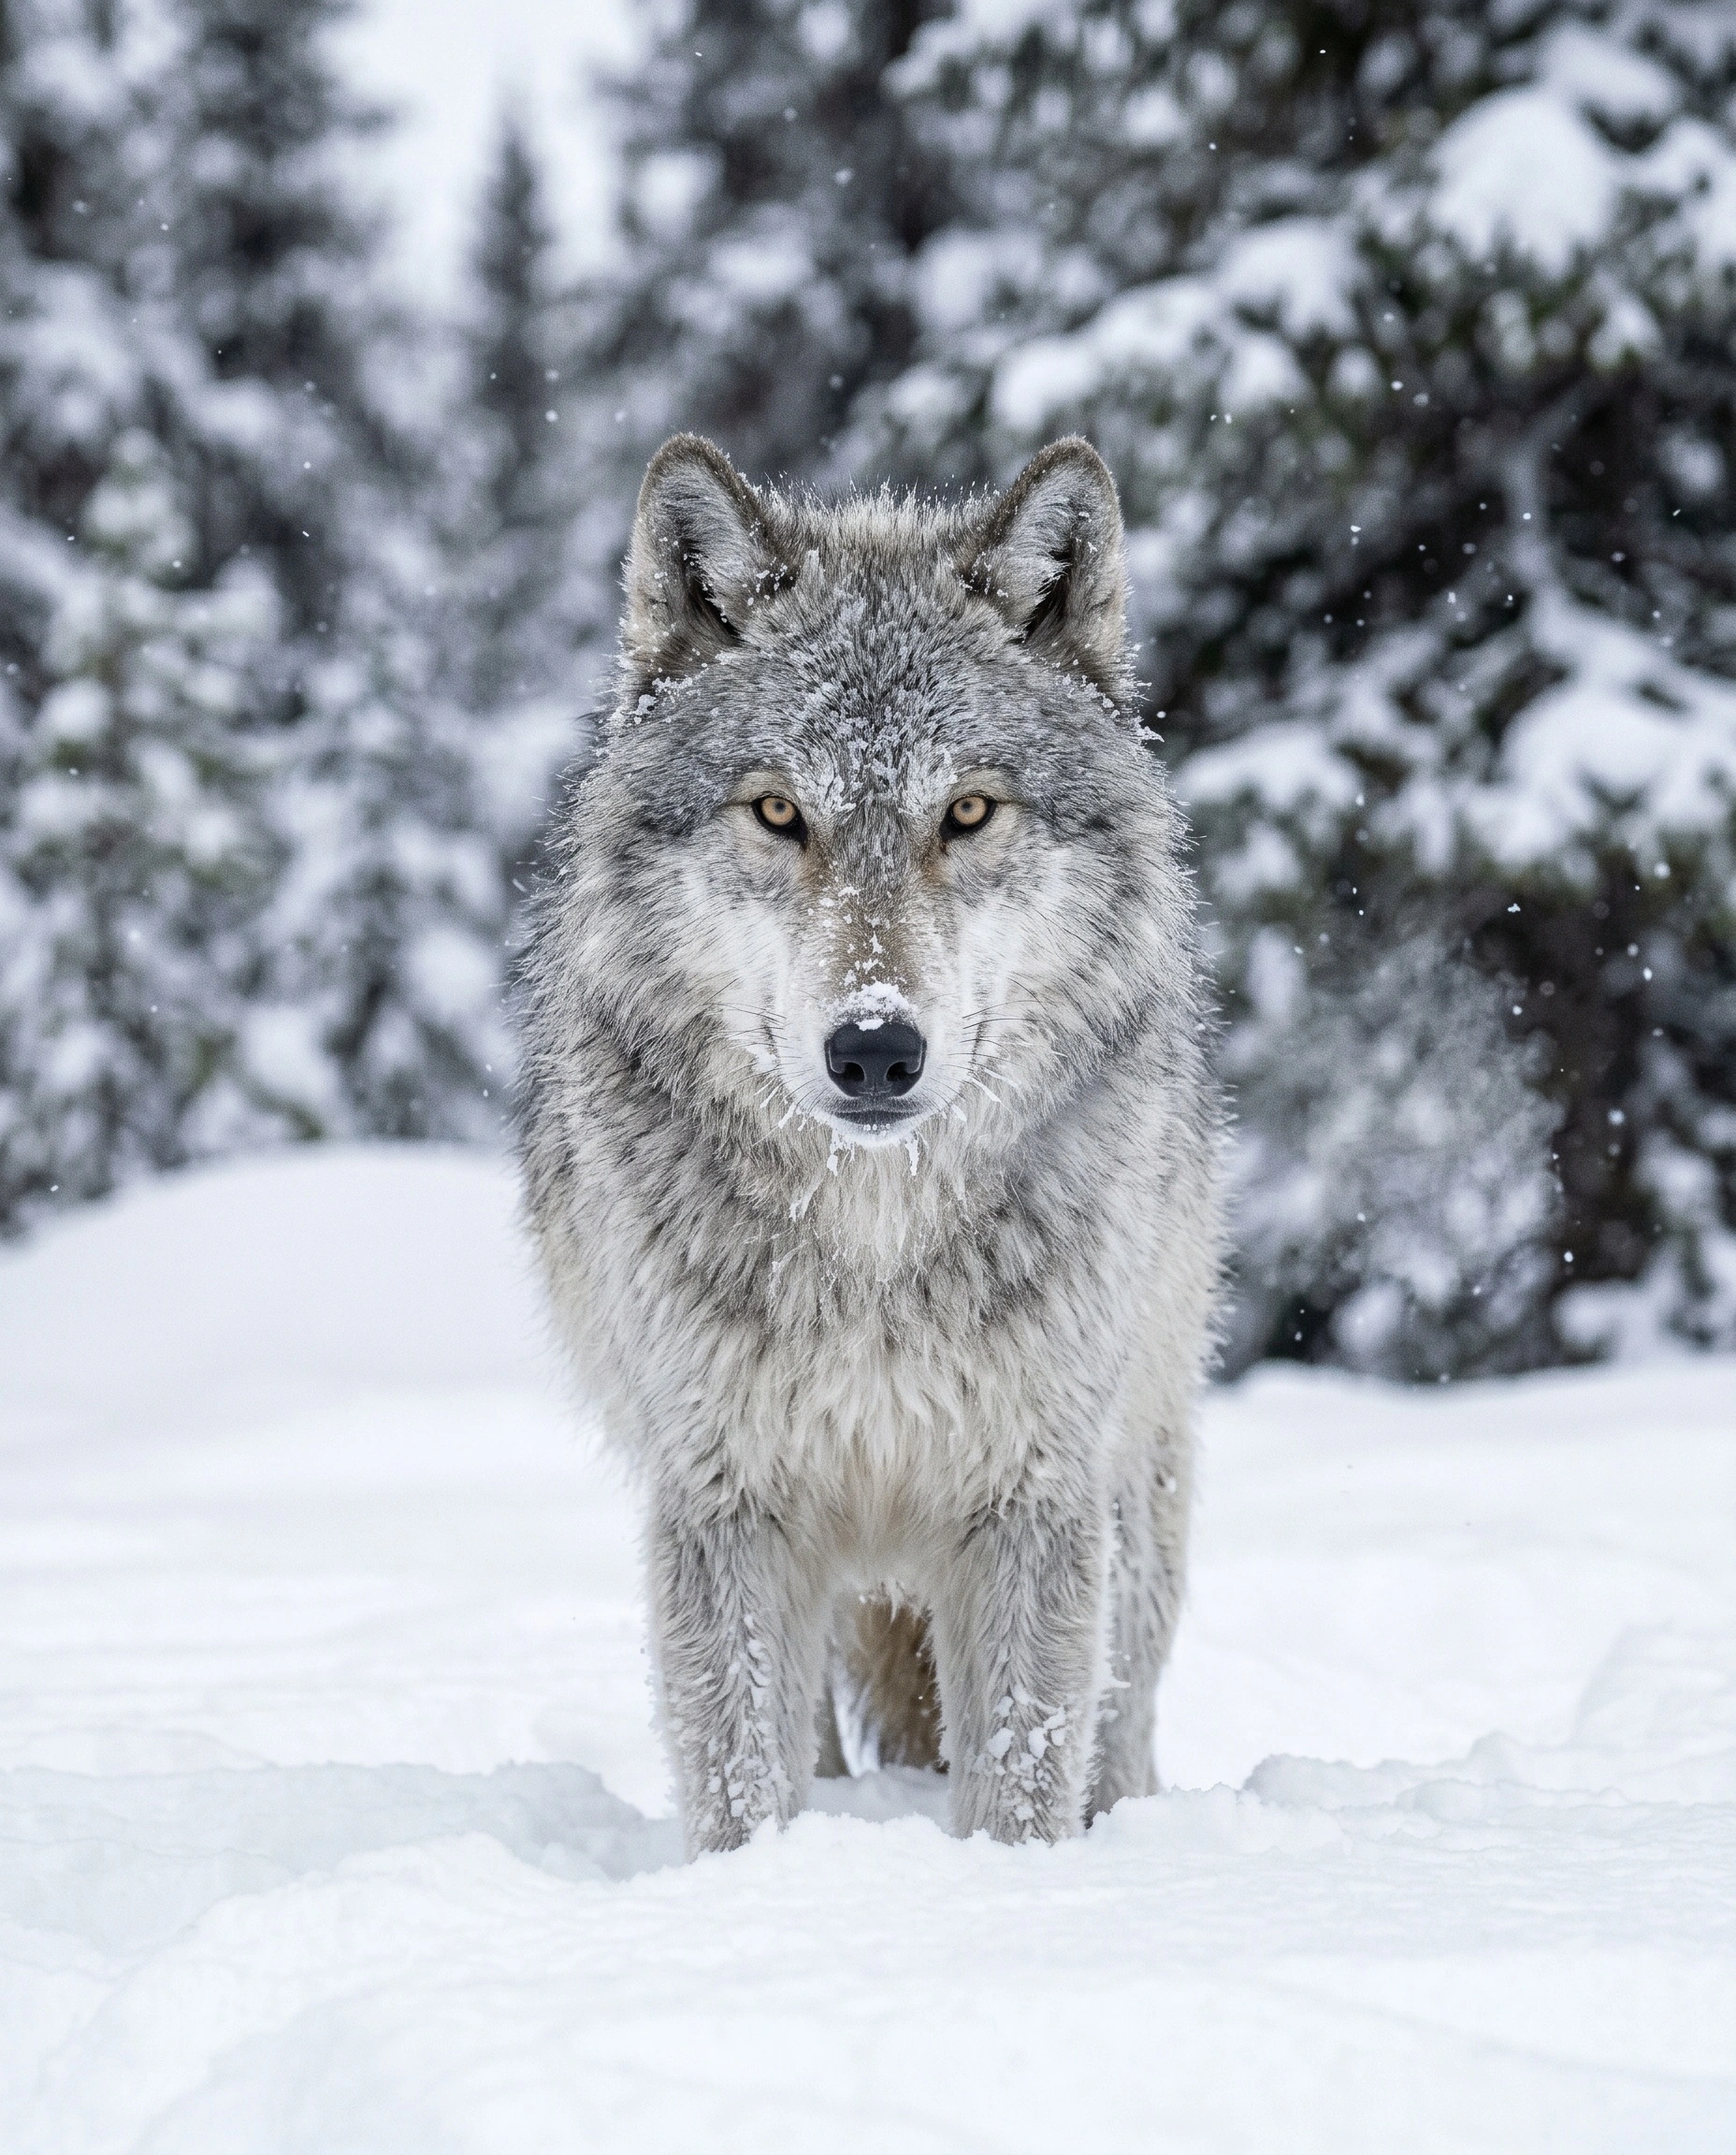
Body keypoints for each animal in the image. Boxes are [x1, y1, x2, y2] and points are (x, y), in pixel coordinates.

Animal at [519, 433, 1222, 1857]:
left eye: (968, 811)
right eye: (779, 812)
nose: (875, 1050)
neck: (874, 1241)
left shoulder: (1034, 1497)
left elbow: (1024, 1768)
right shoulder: (724, 1503)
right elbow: (739, 1777)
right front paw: (758, 1889)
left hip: (1137, 1487)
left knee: (1118, 1717)